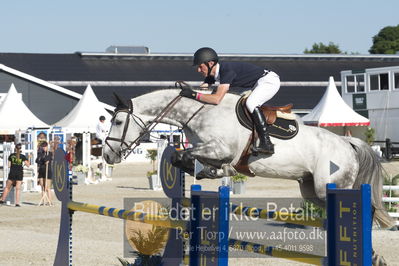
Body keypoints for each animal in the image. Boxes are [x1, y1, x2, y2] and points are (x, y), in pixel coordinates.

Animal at [103, 88, 394, 233]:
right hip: (311, 190)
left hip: (331, 185)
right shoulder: (205, 149)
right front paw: (210, 172)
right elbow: (183, 158)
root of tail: (347, 143)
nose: (107, 154)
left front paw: (217, 170)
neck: (199, 113)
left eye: (117, 121)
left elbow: (185, 155)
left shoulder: (220, 148)